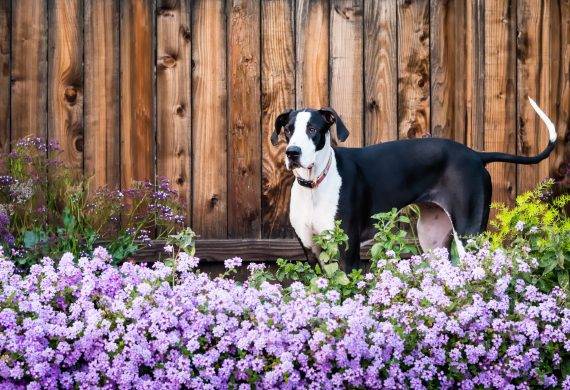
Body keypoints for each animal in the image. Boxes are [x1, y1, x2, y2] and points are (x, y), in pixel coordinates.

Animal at [270, 97, 556, 272]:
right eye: (288, 129)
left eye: (313, 130)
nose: (293, 153)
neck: (315, 185)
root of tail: (475, 155)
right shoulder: (311, 250)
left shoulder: (347, 251)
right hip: (431, 238)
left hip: (468, 234)